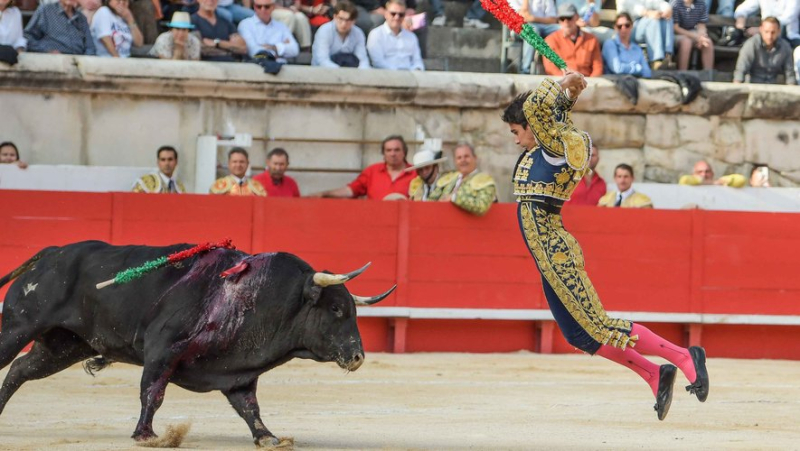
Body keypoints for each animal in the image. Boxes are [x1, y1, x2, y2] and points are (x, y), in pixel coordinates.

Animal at [0, 242, 394, 446]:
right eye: (336, 308)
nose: (357, 356)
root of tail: (54, 253)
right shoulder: (162, 351)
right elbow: (152, 392)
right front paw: (146, 434)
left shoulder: (238, 371)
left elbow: (250, 407)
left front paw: (268, 437)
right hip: (19, 326)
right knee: (10, 359)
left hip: (64, 346)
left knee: (20, 369)